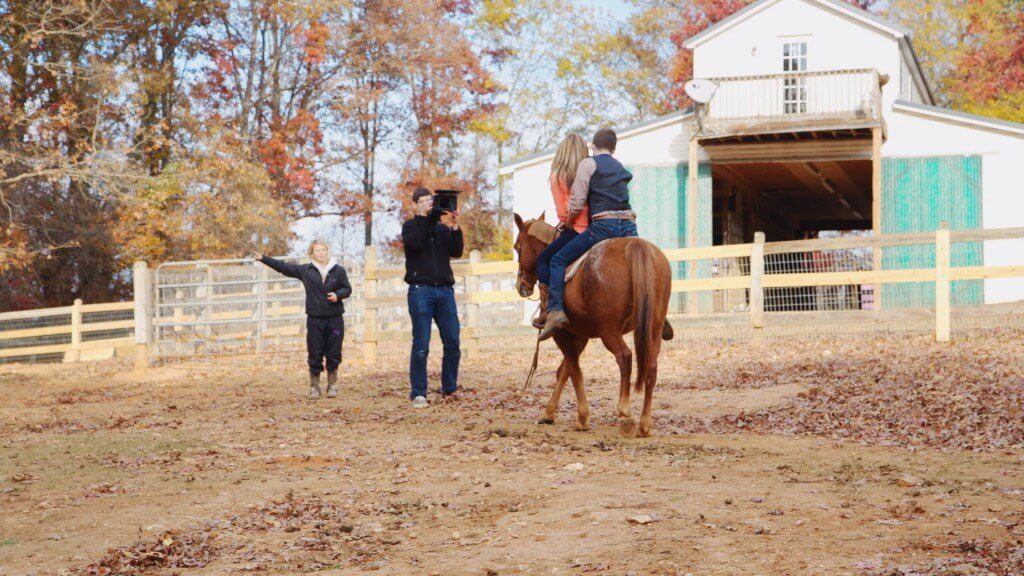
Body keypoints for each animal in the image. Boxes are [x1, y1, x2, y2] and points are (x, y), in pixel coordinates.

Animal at [509, 212, 671, 434]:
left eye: (517, 246)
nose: (521, 285)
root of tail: (635, 246)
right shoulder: (580, 335)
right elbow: (565, 370)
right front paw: (550, 413)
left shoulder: (562, 333)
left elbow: (574, 371)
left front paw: (582, 417)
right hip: (653, 329)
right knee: (651, 366)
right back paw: (645, 423)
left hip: (608, 330)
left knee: (625, 356)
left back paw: (624, 410)